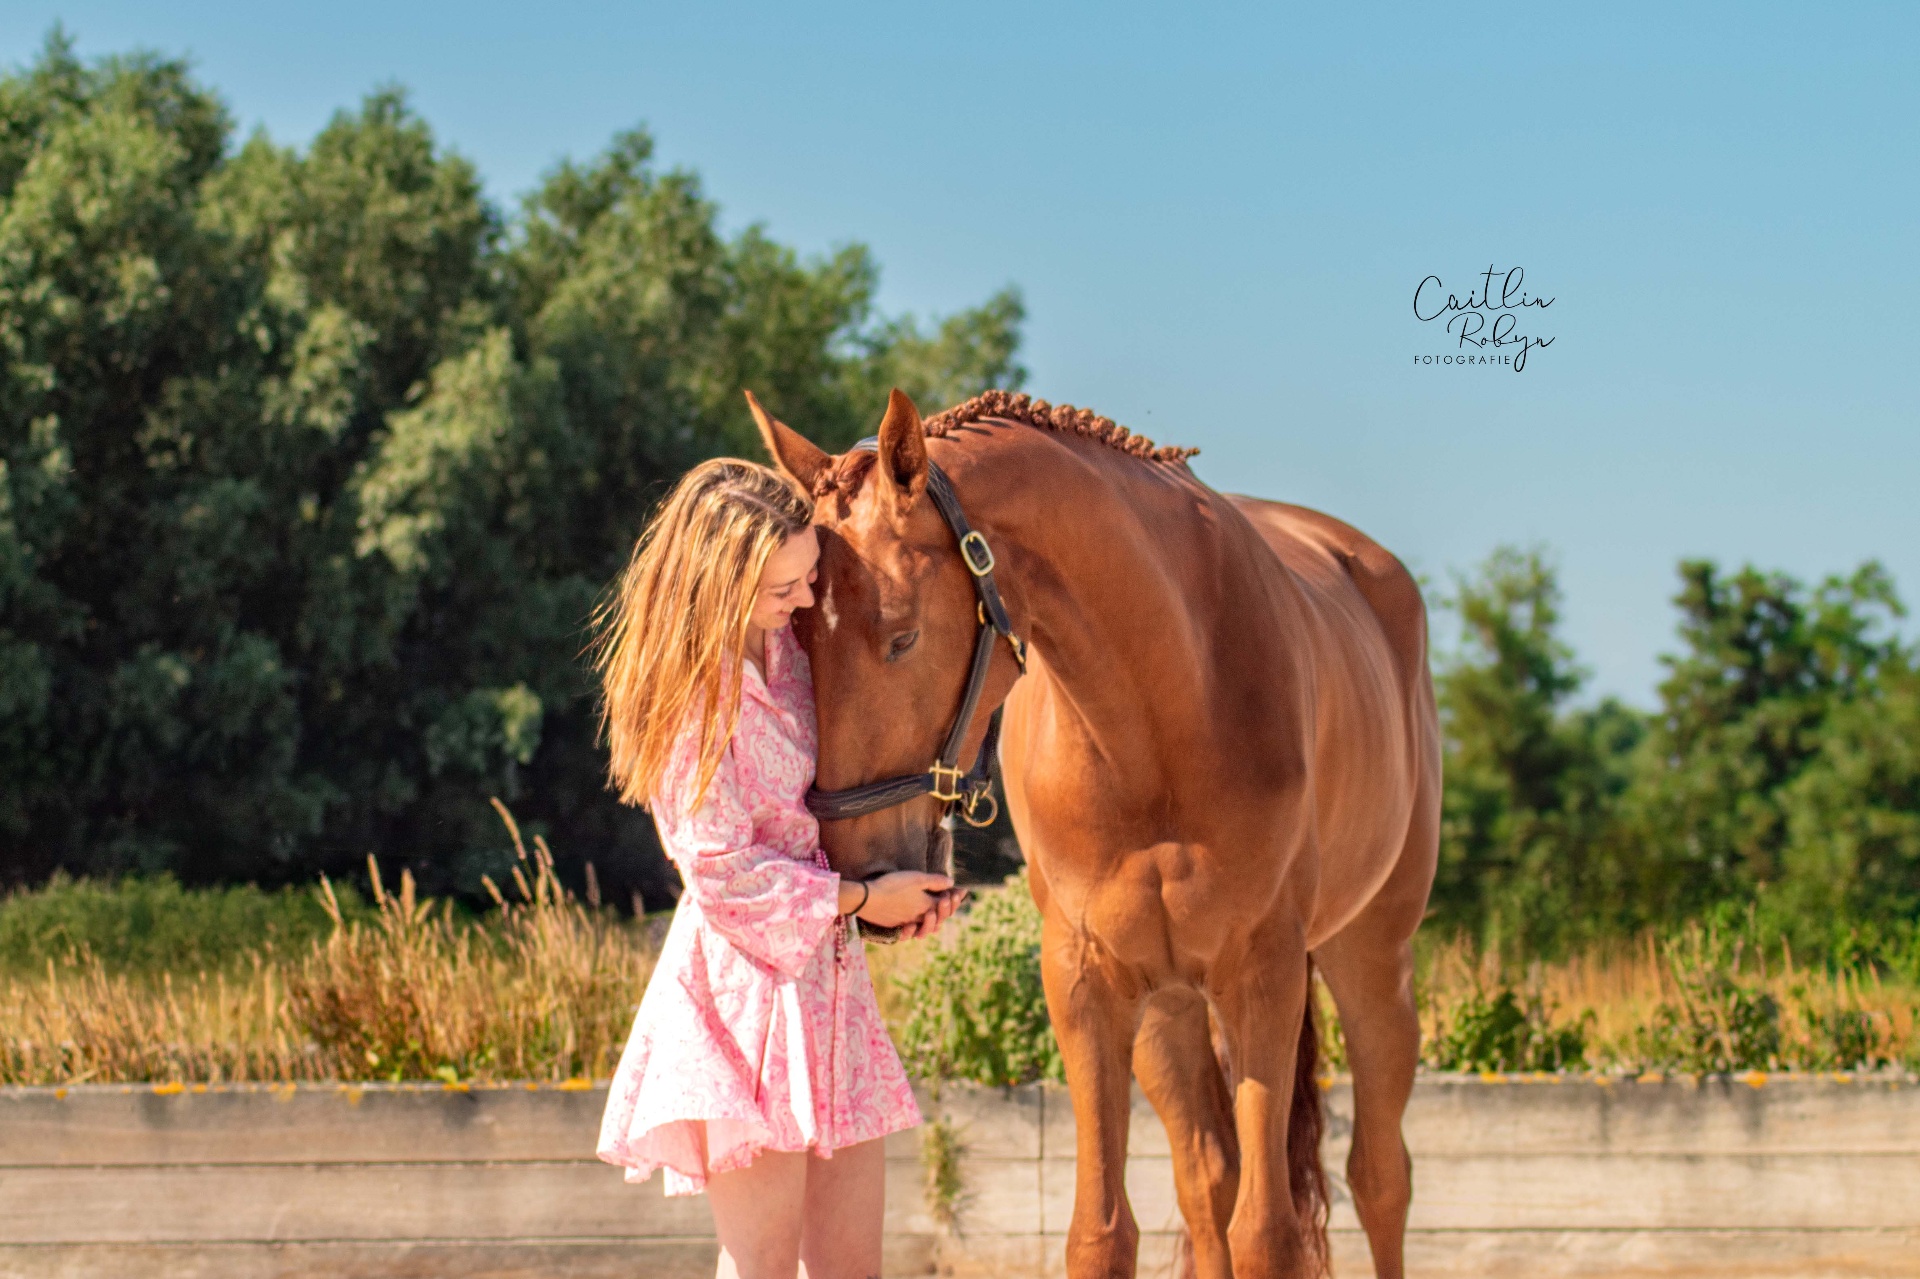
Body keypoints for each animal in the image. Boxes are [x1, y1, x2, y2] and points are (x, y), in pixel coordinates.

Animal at [747, 387, 1440, 1279]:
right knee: (1207, 1177)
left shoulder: (1265, 975)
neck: (1162, 709)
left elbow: (1266, 1236)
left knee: (1380, 1177)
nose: (860, 878)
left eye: (901, 636)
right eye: (797, 632)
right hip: (1170, 1004)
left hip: (1372, 959)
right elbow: (1104, 1232)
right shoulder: (1084, 979)